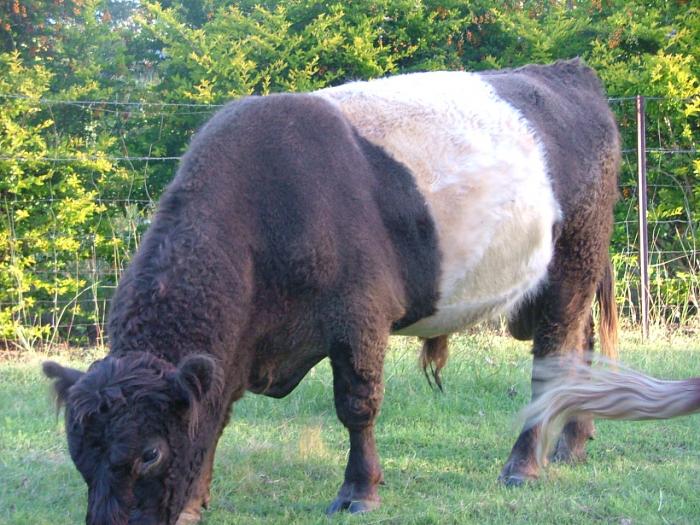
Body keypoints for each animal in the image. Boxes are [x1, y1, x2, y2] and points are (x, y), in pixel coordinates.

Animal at [43, 58, 620, 524]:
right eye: (77, 453)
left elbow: (356, 406)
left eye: (150, 454)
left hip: (573, 264)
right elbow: (216, 415)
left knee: (551, 362)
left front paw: (359, 491)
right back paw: (573, 444)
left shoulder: (359, 316)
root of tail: (568, 72)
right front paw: (193, 502)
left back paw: (524, 465)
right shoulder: (234, 352)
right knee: (582, 347)